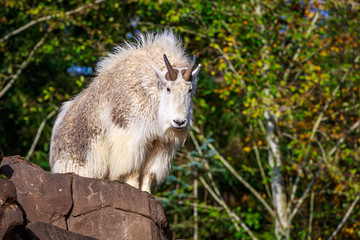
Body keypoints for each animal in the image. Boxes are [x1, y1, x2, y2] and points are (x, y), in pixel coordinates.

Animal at [48, 31, 200, 193]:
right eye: (168, 88)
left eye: (190, 89)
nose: (179, 122)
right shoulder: (131, 138)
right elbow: (133, 171)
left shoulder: (160, 144)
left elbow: (149, 174)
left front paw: (147, 194)